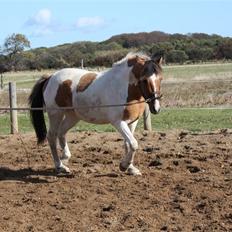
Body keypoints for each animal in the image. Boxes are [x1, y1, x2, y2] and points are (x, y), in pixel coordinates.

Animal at [29, 52, 163, 176]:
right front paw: (123, 166)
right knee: (52, 136)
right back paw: (59, 166)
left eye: (160, 79)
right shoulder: (118, 122)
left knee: (61, 133)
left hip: (72, 117)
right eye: (144, 80)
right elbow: (134, 144)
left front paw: (131, 169)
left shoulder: (132, 122)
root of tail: (50, 77)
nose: (156, 108)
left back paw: (65, 159)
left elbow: (128, 144)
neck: (125, 87)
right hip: (56, 114)